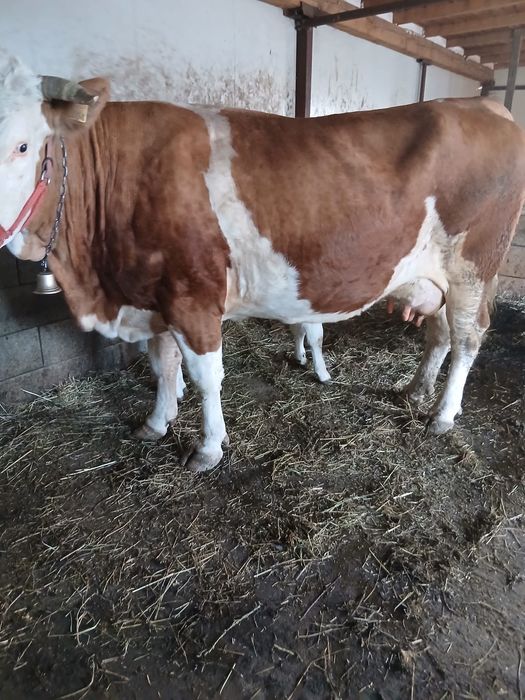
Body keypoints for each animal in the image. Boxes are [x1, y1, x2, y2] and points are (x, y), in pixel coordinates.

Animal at [1, 54, 524, 472]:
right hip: (435, 277)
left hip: (473, 269)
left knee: (468, 338)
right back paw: (416, 391)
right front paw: (156, 421)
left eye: (23, 145)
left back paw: (441, 415)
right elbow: (162, 364)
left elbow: (205, 377)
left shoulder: (193, 296)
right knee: (439, 335)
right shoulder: (153, 294)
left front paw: (208, 449)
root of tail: (486, 107)